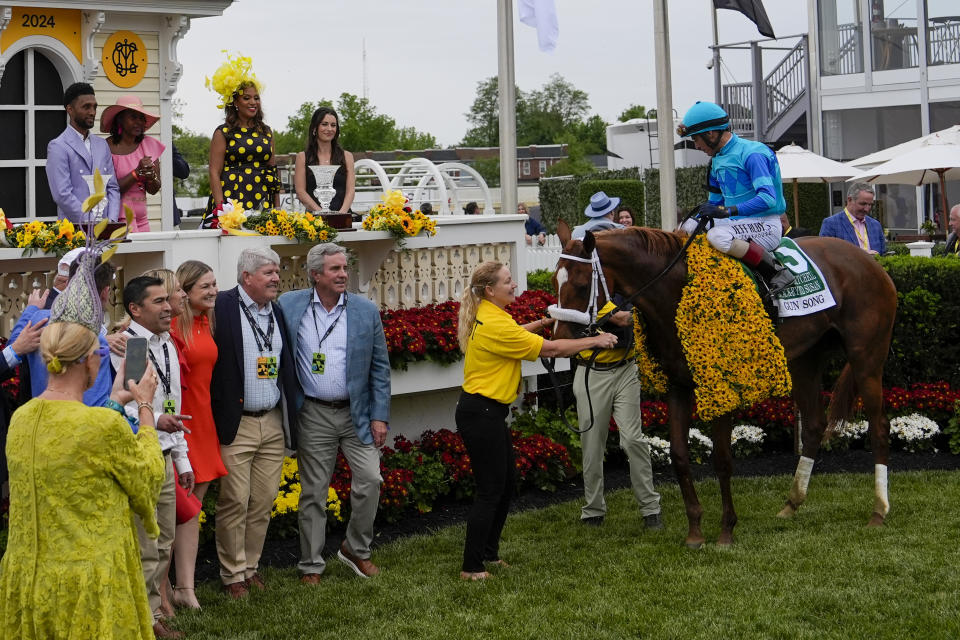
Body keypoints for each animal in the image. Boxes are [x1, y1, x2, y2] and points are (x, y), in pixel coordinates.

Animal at [556, 222, 900, 548]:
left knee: (879, 426)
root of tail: (869, 261)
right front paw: (695, 531)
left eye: (582, 285)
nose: (561, 336)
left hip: (866, 356)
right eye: (553, 284)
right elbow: (679, 456)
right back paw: (792, 504)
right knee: (814, 425)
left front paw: (725, 531)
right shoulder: (678, 386)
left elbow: (722, 460)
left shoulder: (723, 387)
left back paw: (879, 511)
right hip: (806, 358)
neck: (675, 291)